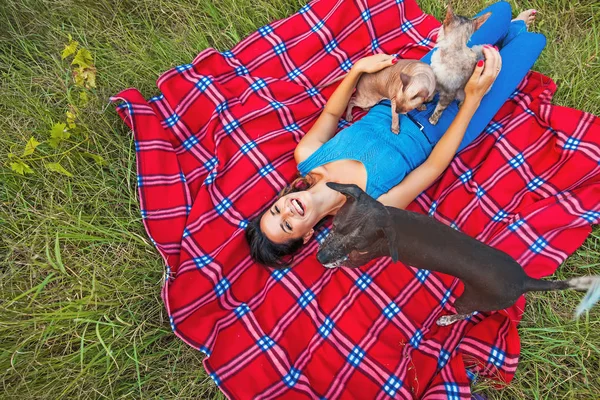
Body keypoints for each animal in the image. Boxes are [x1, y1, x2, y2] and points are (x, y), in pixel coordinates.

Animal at [316, 183, 596, 326]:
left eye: (356, 244)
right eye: (334, 226)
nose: (320, 258)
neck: (388, 216)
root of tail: (525, 281)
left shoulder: (363, 256)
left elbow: (347, 263)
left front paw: (333, 264)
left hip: (470, 299)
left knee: (467, 313)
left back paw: (447, 319)